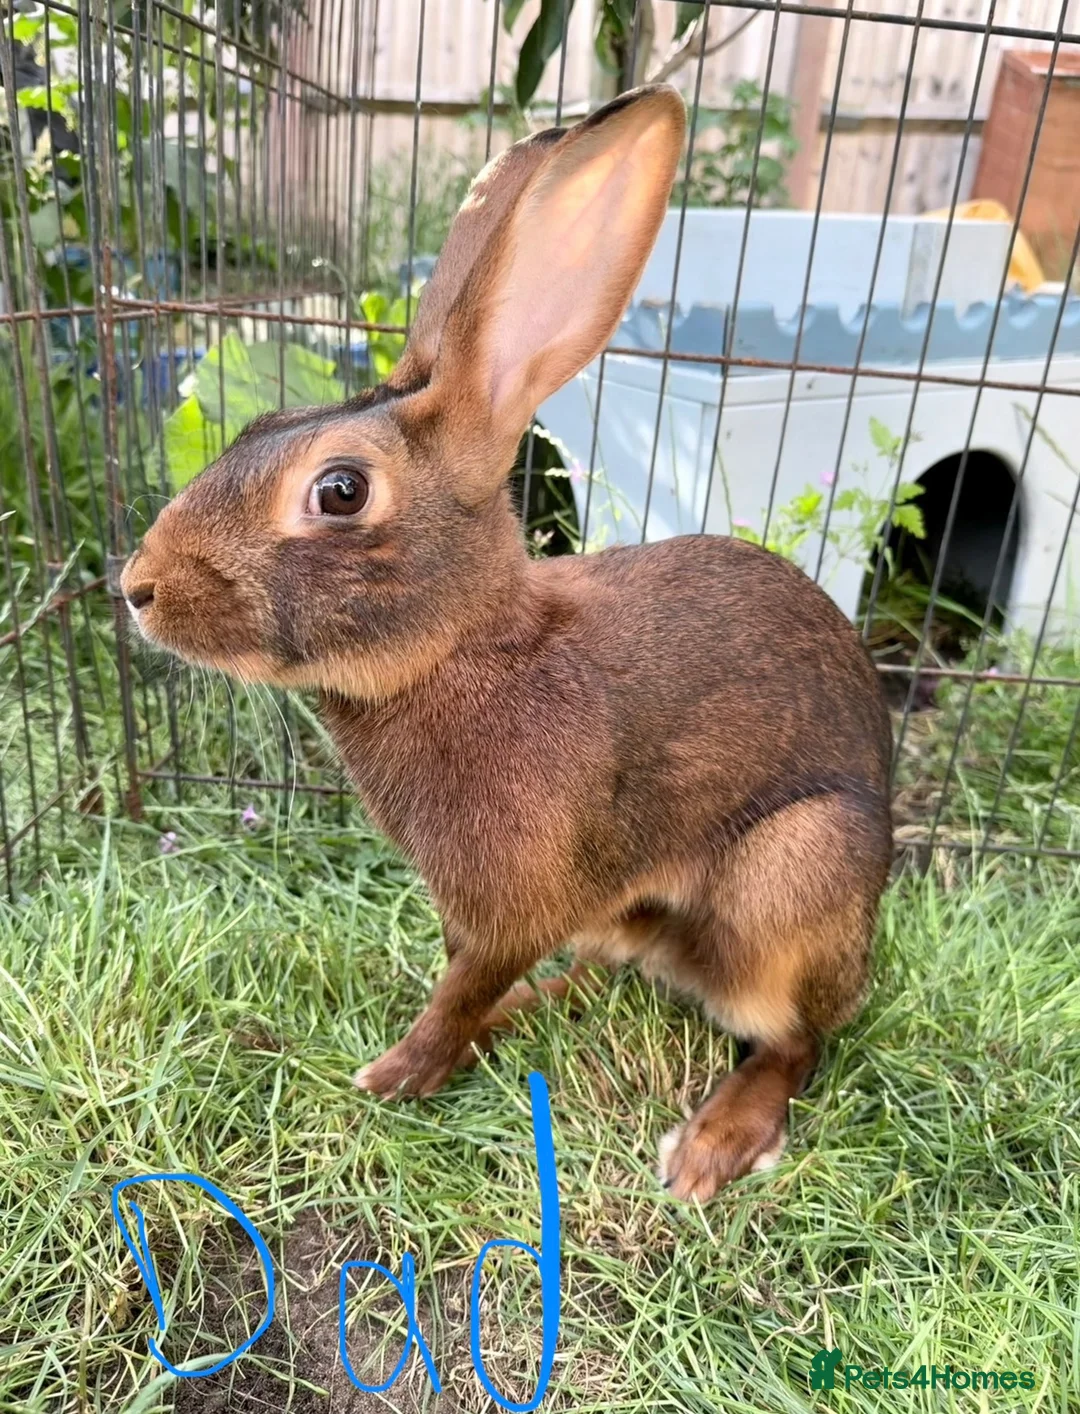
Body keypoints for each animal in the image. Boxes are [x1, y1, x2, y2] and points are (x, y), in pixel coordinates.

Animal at [121, 85, 892, 1202]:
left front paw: (398, 1074)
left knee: (794, 1040)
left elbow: (463, 984)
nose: (136, 589)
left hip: (797, 876)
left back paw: (714, 1144)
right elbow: (468, 976)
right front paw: (438, 1051)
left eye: (340, 491)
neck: (463, 648)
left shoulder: (513, 898)